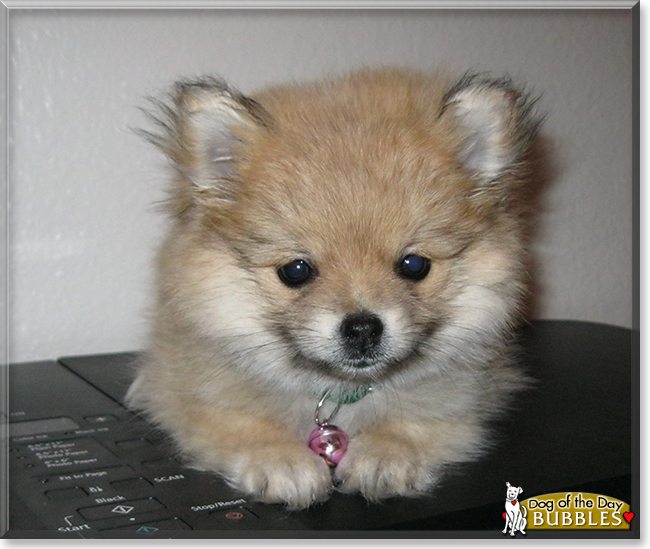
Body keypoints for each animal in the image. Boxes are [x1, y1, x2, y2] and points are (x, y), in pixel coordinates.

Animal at [125, 68, 536, 510]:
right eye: (296, 271)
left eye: (414, 265)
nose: (362, 328)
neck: (340, 390)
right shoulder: (193, 396)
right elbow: (240, 424)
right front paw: (279, 458)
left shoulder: (465, 403)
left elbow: (418, 422)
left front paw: (387, 453)